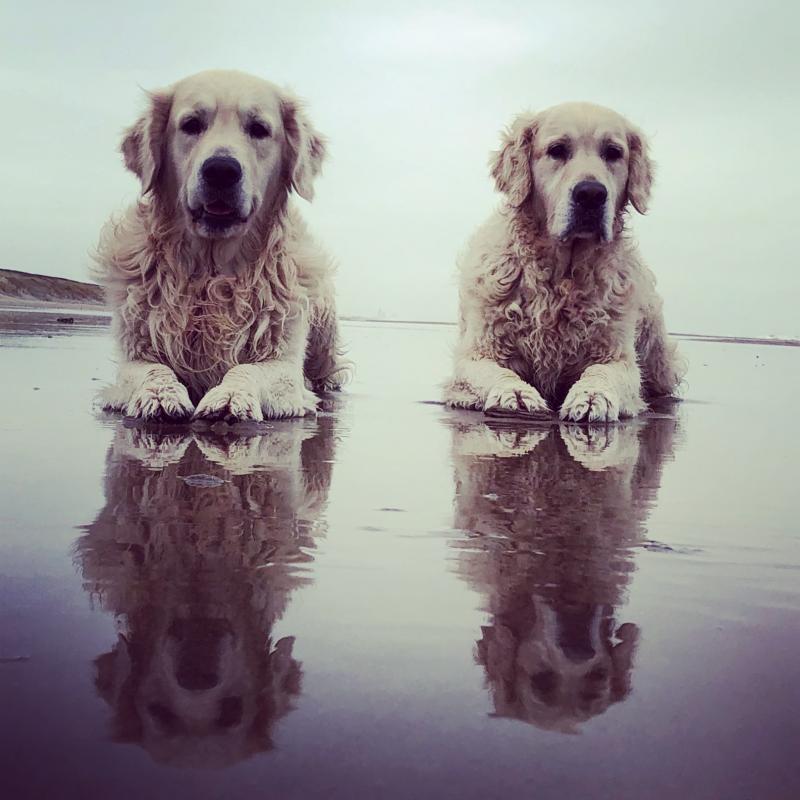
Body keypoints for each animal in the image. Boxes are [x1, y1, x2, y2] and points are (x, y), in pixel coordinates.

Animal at [94, 69, 346, 424]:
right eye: (191, 124)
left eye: (259, 129)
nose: (221, 170)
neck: (212, 271)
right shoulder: (135, 352)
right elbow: (153, 369)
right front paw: (160, 395)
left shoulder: (283, 363)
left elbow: (247, 369)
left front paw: (230, 397)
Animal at [446, 104, 684, 424]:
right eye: (557, 150)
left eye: (613, 152)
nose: (591, 194)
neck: (560, 277)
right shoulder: (477, 352)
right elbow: (495, 372)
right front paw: (515, 394)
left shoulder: (618, 357)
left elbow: (601, 372)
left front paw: (592, 397)